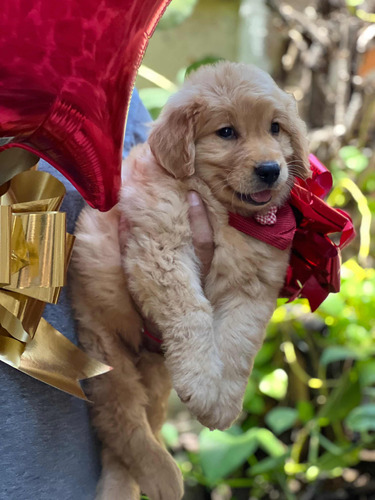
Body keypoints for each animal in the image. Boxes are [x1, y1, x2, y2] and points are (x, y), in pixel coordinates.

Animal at [71, 62, 312, 500]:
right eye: (227, 132)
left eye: (275, 128)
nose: (271, 170)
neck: (220, 208)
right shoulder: (162, 253)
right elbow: (193, 312)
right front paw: (201, 384)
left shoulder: (254, 287)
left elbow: (238, 345)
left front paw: (222, 403)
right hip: (104, 349)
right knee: (119, 418)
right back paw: (161, 475)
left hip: (154, 372)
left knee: (133, 424)